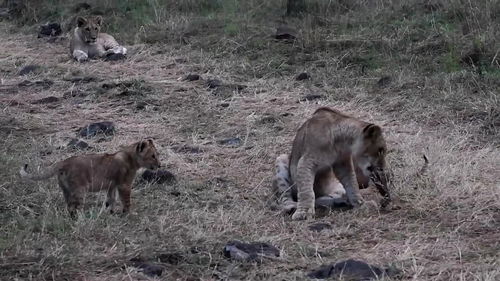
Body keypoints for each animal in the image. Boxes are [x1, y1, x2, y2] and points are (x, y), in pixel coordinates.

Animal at [19, 139, 159, 215]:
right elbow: (126, 201)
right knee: (74, 207)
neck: (131, 158)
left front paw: (110, 213)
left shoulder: (111, 186)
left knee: (69, 206)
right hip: (79, 190)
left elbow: (110, 200)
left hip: (66, 190)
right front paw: (129, 213)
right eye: (153, 156)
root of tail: (64, 162)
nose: (160, 165)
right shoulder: (124, 185)